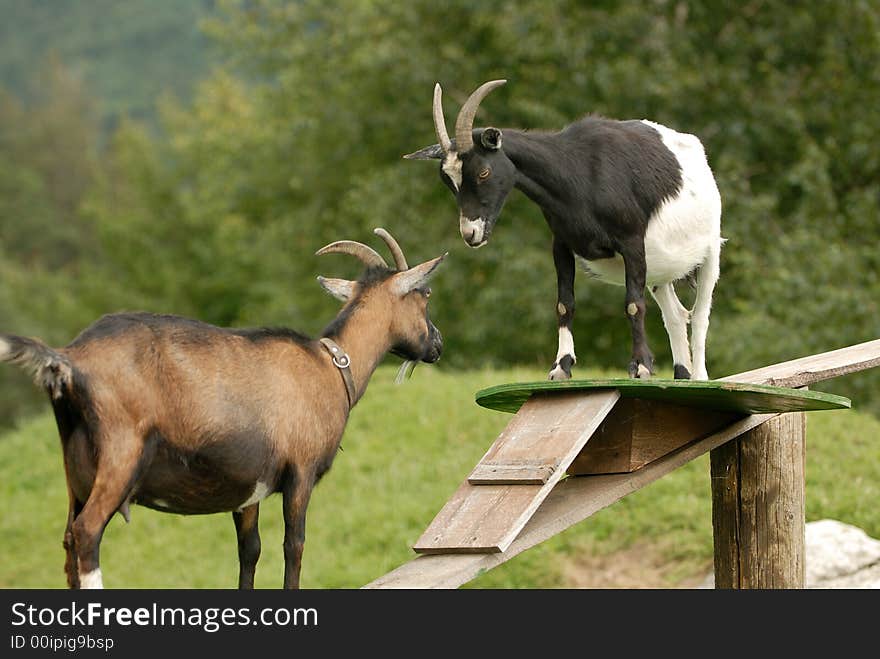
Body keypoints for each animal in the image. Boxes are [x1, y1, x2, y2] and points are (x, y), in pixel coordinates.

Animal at [0, 229, 446, 592]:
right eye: (424, 297)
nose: (437, 344)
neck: (331, 366)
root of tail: (69, 360)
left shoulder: (248, 492)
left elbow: (250, 551)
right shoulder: (300, 473)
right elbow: (294, 545)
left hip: (75, 471)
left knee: (68, 540)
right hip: (121, 453)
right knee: (88, 532)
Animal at [408, 79, 720, 382]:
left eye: (484, 172)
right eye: (448, 180)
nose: (470, 233)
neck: (580, 173)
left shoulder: (631, 242)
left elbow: (634, 304)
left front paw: (640, 366)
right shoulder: (561, 244)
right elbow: (564, 304)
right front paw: (562, 366)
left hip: (709, 251)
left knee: (700, 314)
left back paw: (699, 376)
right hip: (659, 268)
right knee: (676, 315)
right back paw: (681, 373)